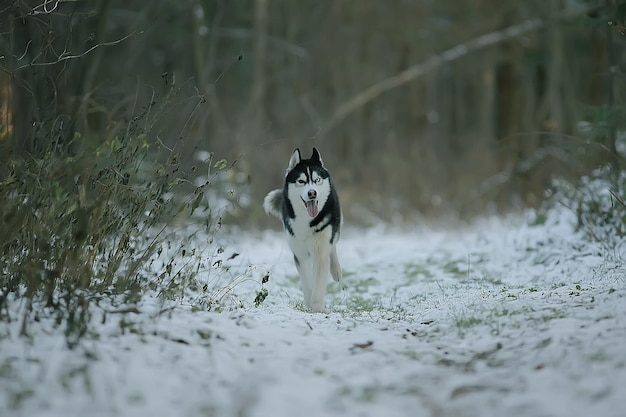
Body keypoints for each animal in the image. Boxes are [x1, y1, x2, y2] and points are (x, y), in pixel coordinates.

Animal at [264, 148, 342, 310]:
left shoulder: (320, 252)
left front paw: (317, 307)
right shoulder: (300, 254)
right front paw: (308, 303)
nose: (312, 193)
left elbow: (319, 282)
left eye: (317, 180)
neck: (307, 220)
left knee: (333, 246)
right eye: (301, 181)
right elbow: (307, 282)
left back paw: (336, 270)